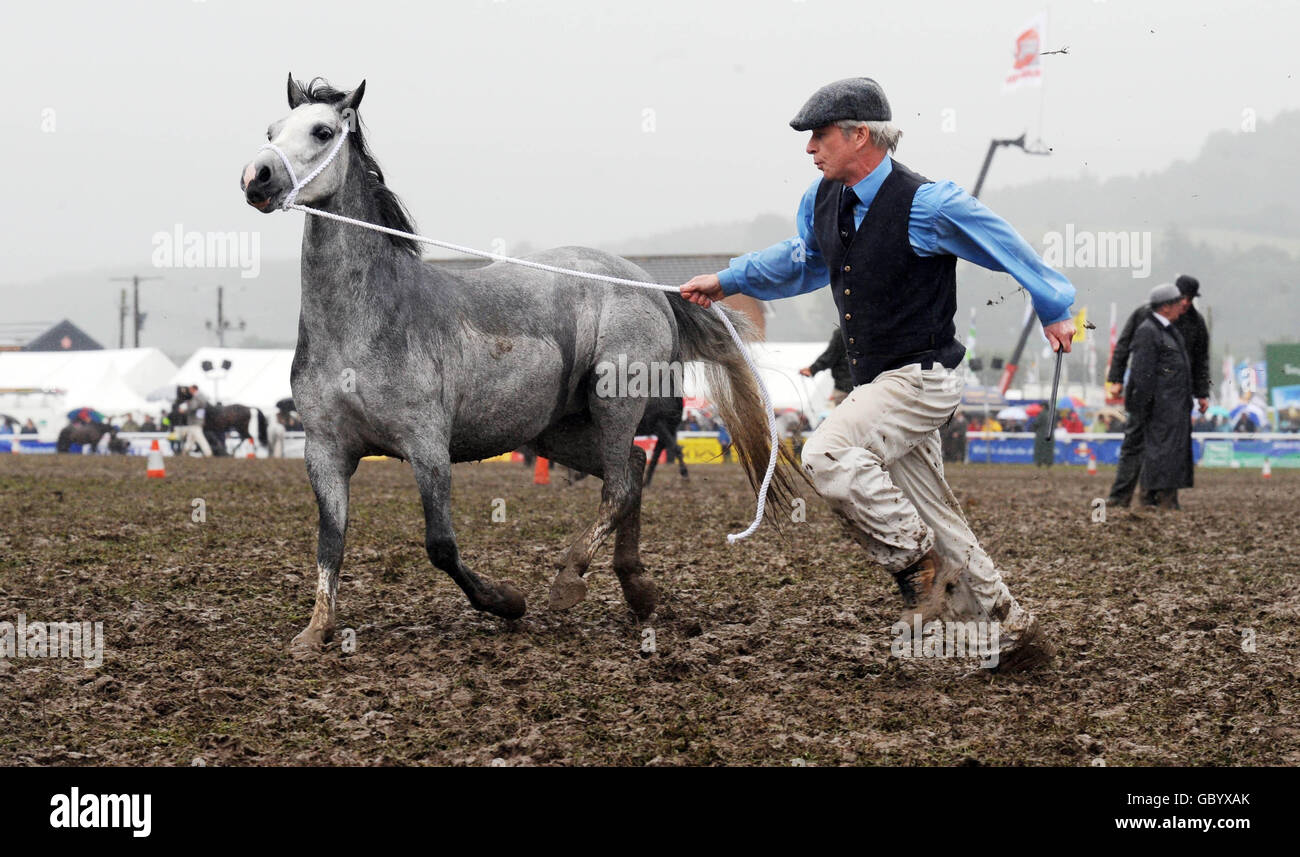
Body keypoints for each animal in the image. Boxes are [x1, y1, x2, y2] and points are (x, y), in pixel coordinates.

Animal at [239, 78, 795, 658]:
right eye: (272, 131)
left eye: (322, 131)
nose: (257, 177)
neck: (361, 324)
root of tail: (646, 285)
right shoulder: (325, 453)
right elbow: (331, 542)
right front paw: (316, 630)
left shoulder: (427, 448)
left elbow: (440, 545)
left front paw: (506, 601)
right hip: (555, 431)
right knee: (634, 470)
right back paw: (636, 587)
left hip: (615, 404)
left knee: (620, 485)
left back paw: (571, 578)